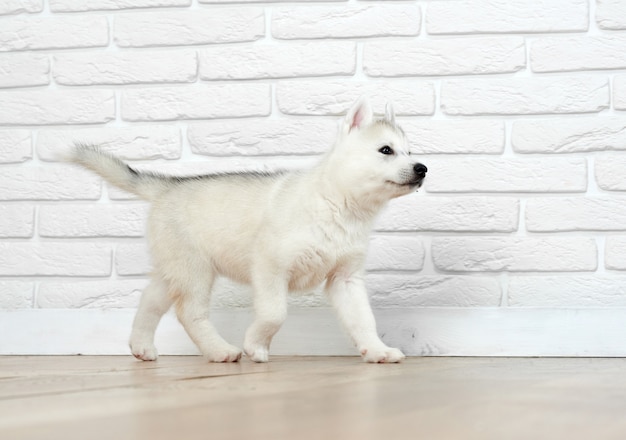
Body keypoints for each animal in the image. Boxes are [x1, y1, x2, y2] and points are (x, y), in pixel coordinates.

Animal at [72, 99, 424, 364]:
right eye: (386, 150)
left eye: (409, 152)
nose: (423, 168)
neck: (340, 206)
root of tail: (167, 187)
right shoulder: (270, 268)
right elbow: (275, 314)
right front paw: (255, 345)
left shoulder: (346, 279)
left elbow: (363, 319)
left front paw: (376, 350)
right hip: (195, 270)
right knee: (189, 313)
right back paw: (219, 351)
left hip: (174, 271)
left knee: (150, 301)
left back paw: (141, 346)